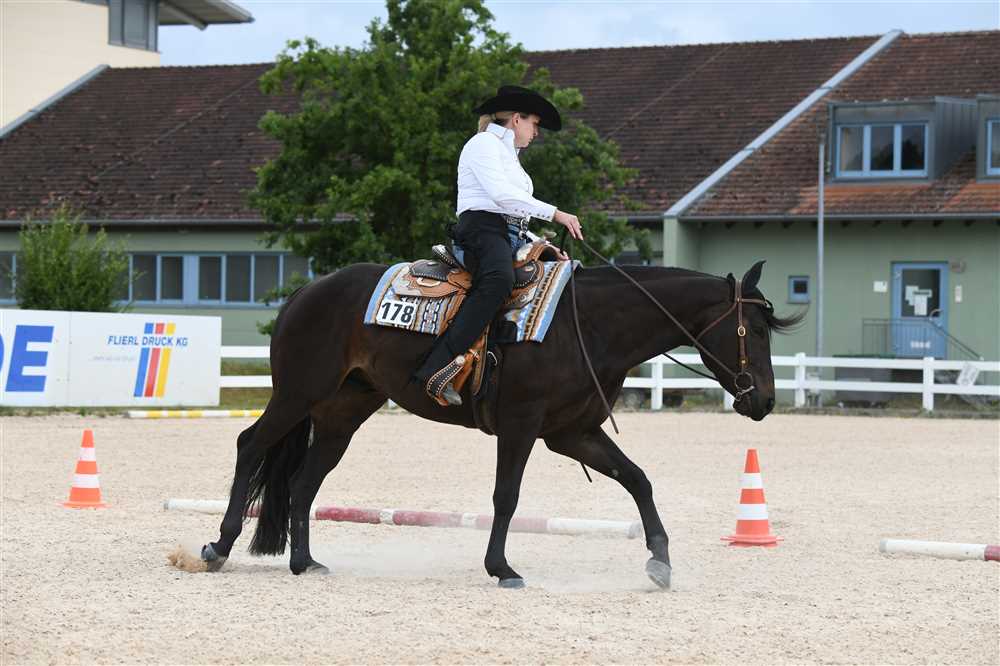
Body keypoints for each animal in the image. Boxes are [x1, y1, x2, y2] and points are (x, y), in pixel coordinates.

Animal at [198, 259, 801, 589]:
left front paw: (660, 563)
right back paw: (218, 547)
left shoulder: (572, 433)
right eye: (755, 330)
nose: (765, 400)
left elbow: (638, 479)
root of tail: (306, 291)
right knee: (249, 445)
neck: (589, 325)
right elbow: (506, 496)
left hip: (343, 412)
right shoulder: (521, 424)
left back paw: (304, 561)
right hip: (297, 394)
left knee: (304, 481)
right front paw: (501, 567)